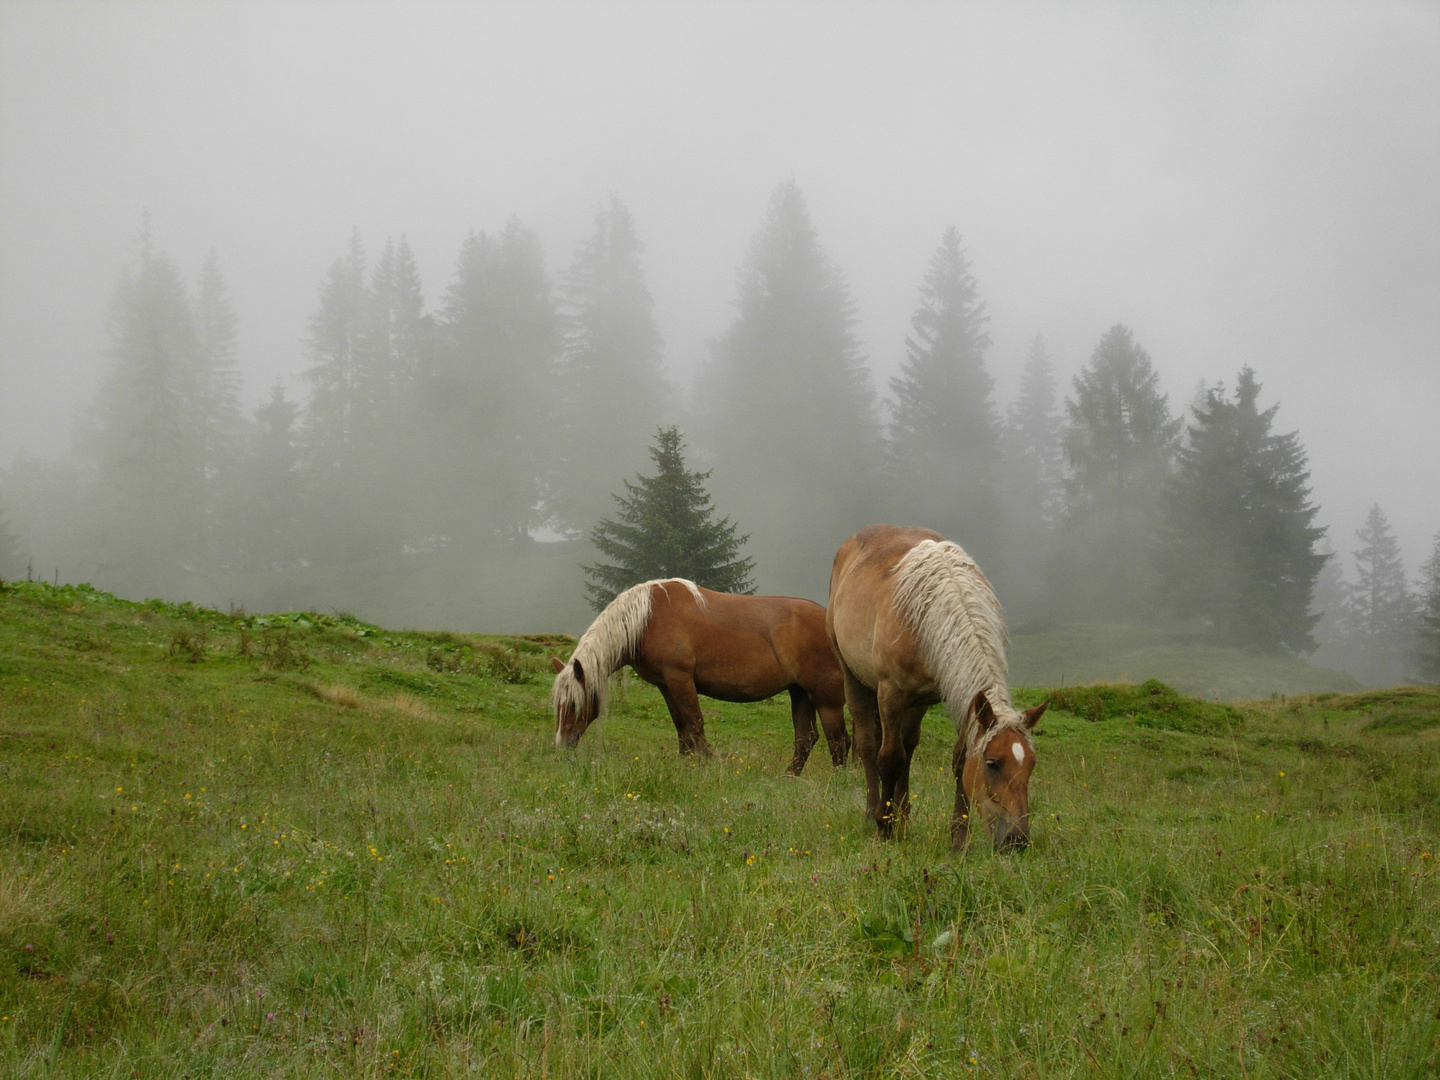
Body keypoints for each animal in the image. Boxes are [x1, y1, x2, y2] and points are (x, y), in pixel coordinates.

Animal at [547, 578, 840, 771]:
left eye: (572, 704)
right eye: (557, 705)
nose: (561, 748)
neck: (649, 619)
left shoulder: (680, 679)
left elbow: (695, 722)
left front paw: (706, 762)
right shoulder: (666, 685)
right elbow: (681, 725)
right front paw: (685, 762)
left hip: (825, 698)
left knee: (838, 739)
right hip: (800, 693)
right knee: (806, 739)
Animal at [835, 527, 1048, 852]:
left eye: (1031, 765)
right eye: (992, 763)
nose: (1016, 841)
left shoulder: (965, 700)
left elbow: (958, 762)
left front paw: (958, 838)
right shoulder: (890, 695)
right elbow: (889, 758)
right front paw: (883, 827)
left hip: (917, 702)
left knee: (908, 747)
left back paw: (903, 817)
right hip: (853, 678)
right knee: (870, 743)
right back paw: (874, 813)